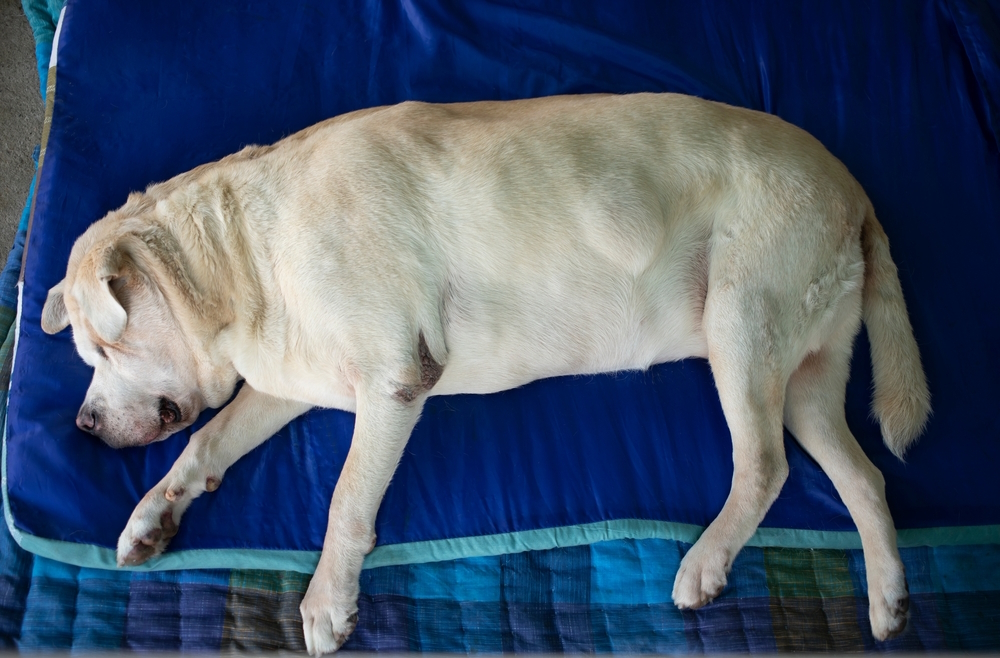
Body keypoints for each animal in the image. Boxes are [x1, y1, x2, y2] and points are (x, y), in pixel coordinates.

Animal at [41, 92, 928, 652]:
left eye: (101, 349)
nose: (82, 423)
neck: (247, 255)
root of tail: (854, 191)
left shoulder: (392, 378)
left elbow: (345, 500)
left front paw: (328, 602)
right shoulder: (292, 383)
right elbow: (206, 444)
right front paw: (149, 516)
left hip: (740, 321)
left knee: (765, 466)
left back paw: (705, 566)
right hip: (802, 374)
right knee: (864, 479)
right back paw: (890, 600)